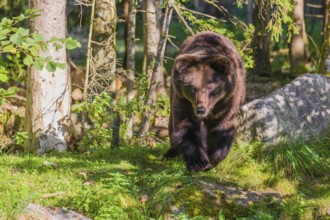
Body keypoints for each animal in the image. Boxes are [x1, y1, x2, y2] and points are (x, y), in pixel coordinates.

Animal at [162, 31, 245, 172]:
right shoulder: (184, 101)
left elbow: (223, 127)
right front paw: (198, 162)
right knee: (172, 124)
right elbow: (187, 125)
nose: (200, 109)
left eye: (210, 87)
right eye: (192, 88)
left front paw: (212, 159)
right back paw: (171, 152)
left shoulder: (228, 101)